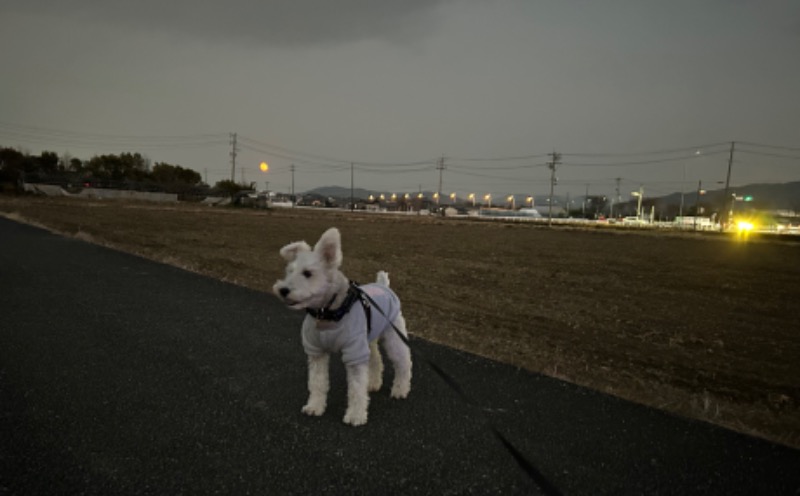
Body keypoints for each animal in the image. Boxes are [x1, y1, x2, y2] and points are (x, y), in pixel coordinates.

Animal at [274, 229, 412, 426]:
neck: (327, 314)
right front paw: (315, 406)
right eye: (289, 271)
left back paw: (400, 389)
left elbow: (356, 389)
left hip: (393, 336)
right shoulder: (317, 352)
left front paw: (355, 415)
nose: (283, 290)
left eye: (307, 273)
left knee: (403, 362)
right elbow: (317, 383)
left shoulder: (354, 354)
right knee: (376, 360)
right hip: (368, 340)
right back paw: (373, 383)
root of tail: (383, 285)